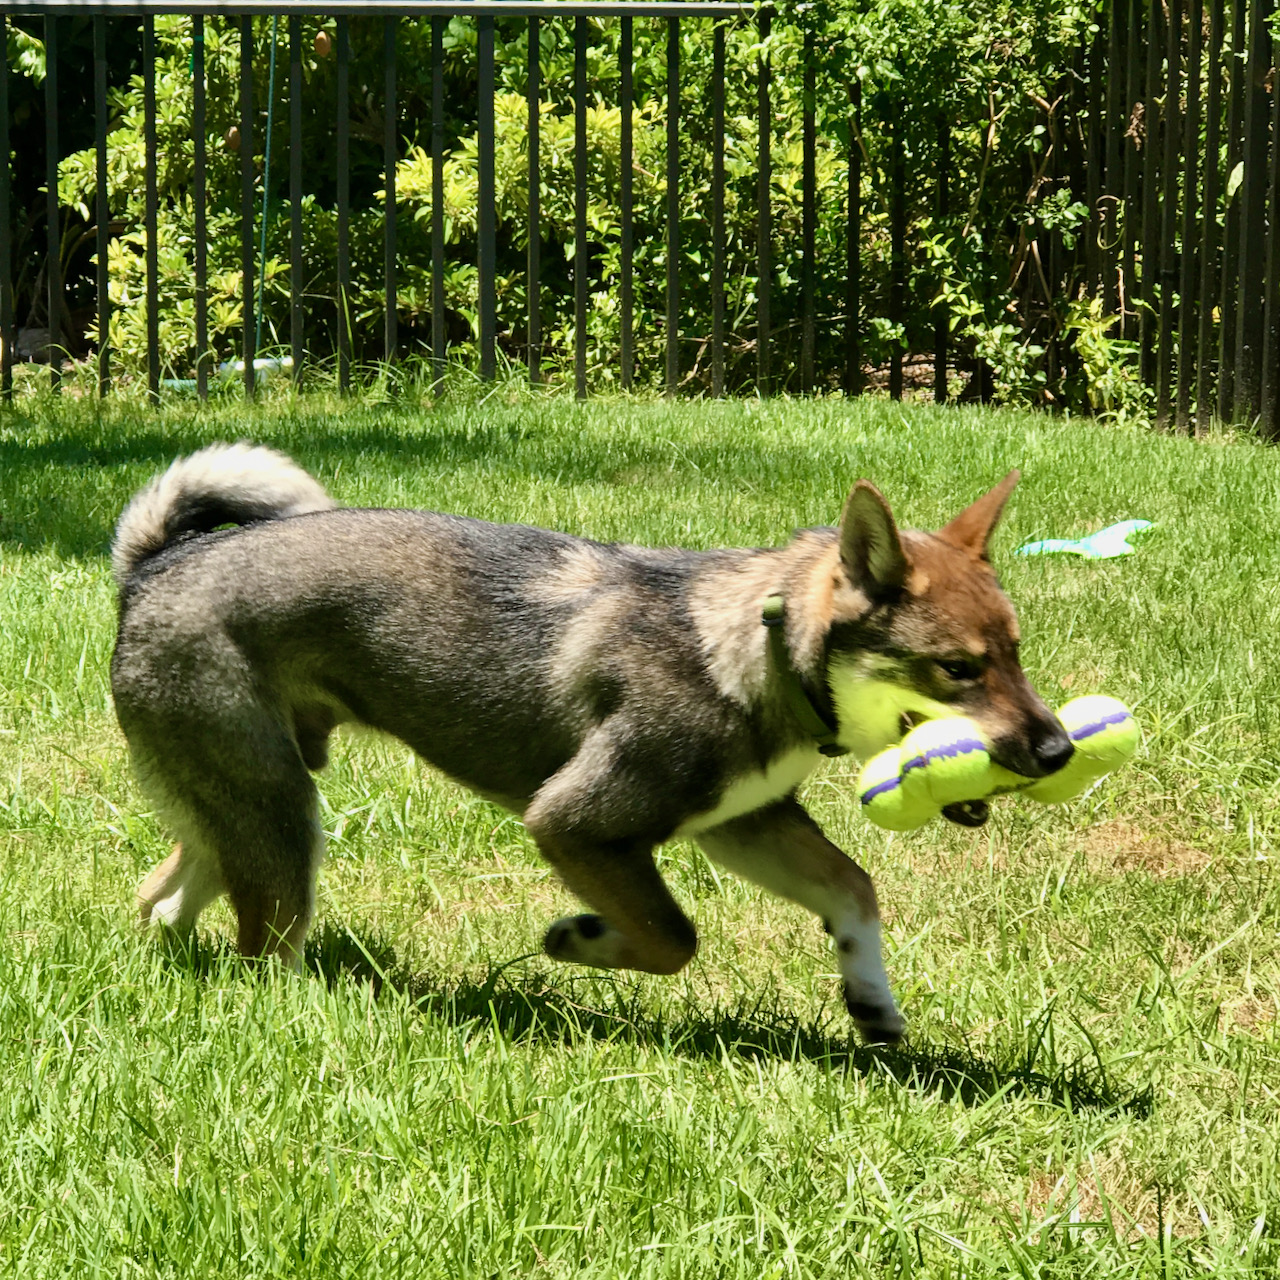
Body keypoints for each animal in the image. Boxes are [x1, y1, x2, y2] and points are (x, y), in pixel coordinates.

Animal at [112, 445, 1070, 1044]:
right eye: (958, 669)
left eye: (1017, 653)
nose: (1061, 750)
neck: (752, 649)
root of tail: (152, 567)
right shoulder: (575, 822)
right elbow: (674, 938)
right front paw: (580, 939)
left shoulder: (745, 821)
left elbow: (853, 888)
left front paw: (870, 996)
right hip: (281, 821)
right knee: (260, 950)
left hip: (248, 804)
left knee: (163, 895)